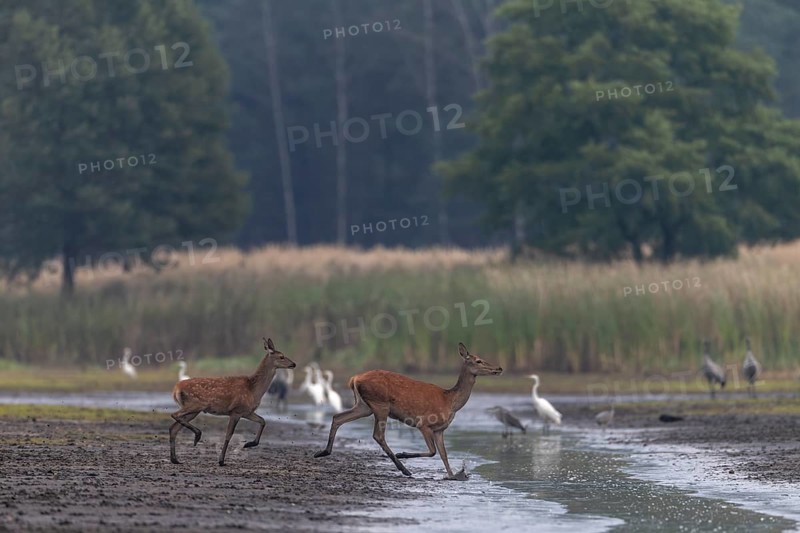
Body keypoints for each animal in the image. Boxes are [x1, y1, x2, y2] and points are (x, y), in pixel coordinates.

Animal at [169, 337, 296, 466]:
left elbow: (263, 421)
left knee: (173, 428)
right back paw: (197, 435)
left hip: (194, 410)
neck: (253, 390)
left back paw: (175, 459)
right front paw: (221, 461)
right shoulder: (236, 410)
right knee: (174, 415)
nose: (293, 364)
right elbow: (228, 435)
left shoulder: (247, 411)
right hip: (195, 404)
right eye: (281, 356)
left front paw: (249, 444)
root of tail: (176, 388)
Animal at [314, 342, 502, 480]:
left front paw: (452, 475)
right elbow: (433, 452)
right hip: (380, 404)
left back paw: (323, 452)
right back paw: (404, 469)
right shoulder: (424, 423)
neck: (450, 401)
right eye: (478, 360)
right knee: (378, 435)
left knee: (338, 417)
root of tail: (354, 378)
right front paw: (403, 453)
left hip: (364, 406)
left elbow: (444, 455)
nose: (499, 368)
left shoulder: (440, 429)